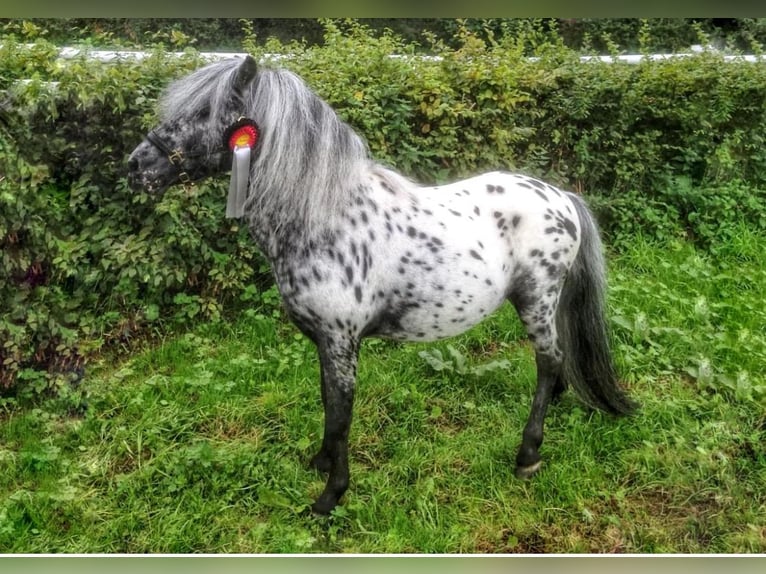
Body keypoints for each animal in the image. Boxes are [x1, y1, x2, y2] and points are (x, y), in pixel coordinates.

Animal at [129, 57, 640, 516]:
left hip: (536, 298)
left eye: (203, 111)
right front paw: (319, 463)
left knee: (548, 360)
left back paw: (528, 454)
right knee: (553, 366)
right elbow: (327, 404)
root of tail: (562, 197)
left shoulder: (341, 340)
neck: (324, 219)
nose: (137, 165)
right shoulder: (324, 343)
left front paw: (329, 498)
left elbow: (340, 415)